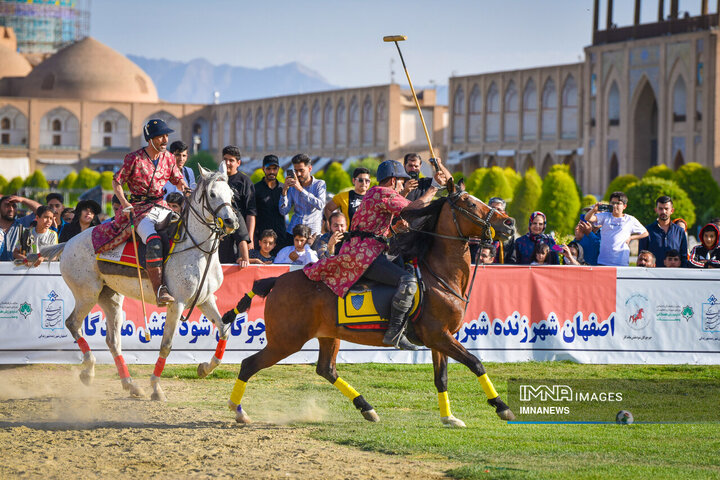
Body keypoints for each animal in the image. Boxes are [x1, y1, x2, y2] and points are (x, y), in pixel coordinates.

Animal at [42, 167, 239, 400]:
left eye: (231, 194)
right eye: (212, 194)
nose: (231, 222)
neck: (196, 249)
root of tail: (68, 243)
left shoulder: (205, 300)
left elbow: (224, 329)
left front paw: (204, 368)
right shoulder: (177, 303)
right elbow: (166, 345)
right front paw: (156, 388)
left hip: (110, 298)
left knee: (112, 340)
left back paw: (130, 384)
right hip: (87, 295)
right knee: (73, 324)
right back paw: (88, 371)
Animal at [228, 182, 516, 426]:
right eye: (469, 203)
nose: (509, 222)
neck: (439, 275)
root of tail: (277, 280)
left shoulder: (441, 339)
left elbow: (441, 378)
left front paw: (449, 417)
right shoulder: (438, 335)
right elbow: (475, 362)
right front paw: (501, 406)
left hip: (327, 335)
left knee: (326, 370)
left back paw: (366, 407)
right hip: (286, 341)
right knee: (249, 365)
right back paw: (238, 411)